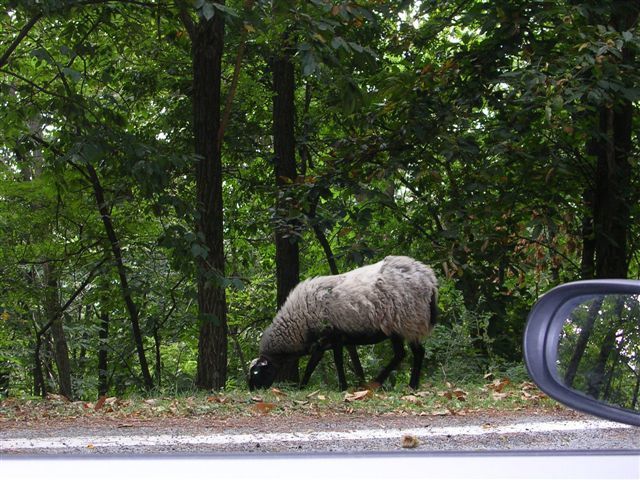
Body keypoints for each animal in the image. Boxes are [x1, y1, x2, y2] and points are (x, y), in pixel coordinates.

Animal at [248, 255, 438, 390]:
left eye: (257, 372)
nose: (252, 391)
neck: (299, 323)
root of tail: (429, 279)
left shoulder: (335, 334)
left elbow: (337, 361)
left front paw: (342, 387)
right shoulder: (322, 342)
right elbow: (312, 364)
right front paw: (302, 386)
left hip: (403, 321)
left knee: (403, 354)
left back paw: (379, 383)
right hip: (407, 324)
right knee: (415, 352)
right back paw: (410, 385)